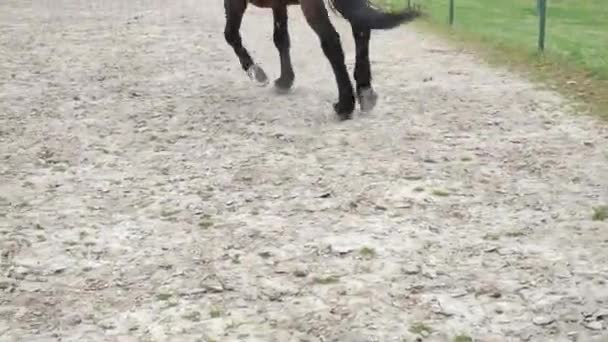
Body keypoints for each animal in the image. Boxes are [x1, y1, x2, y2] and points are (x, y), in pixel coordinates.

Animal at [224, 0, 422, 120]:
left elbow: (230, 34)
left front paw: (256, 72)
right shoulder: (278, 4)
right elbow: (281, 38)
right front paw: (285, 80)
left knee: (332, 42)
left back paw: (344, 105)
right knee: (361, 29)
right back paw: (365, 91)